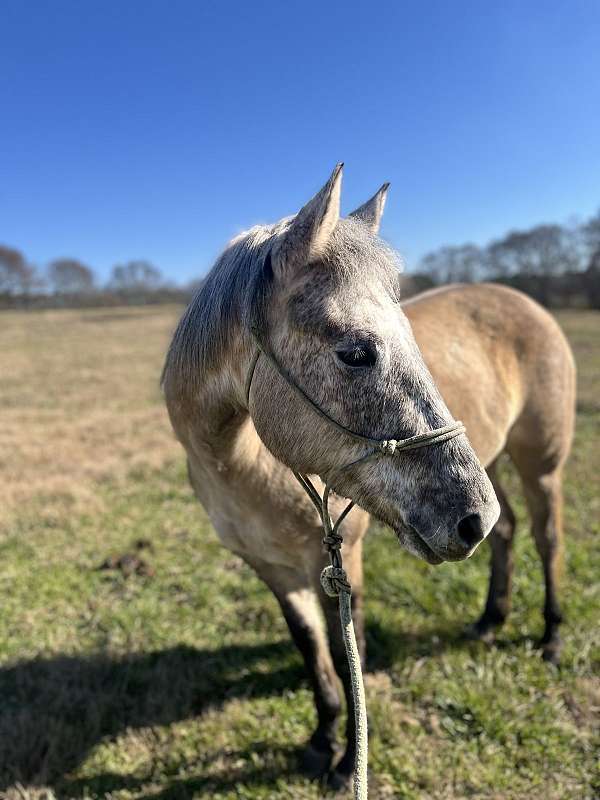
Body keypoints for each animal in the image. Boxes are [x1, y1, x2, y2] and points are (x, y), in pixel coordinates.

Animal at [162, 164, 576, 788]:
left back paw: (551, 637)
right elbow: (312, 651)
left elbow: (344, 648)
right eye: (355, 352)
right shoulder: (271, 570)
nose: (468, 519)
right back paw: (488, 620)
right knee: (506, 533)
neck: (244, 471)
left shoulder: (341, 559)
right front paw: (321, 740)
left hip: (539, 465)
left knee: (548, 539)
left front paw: (346, 762)